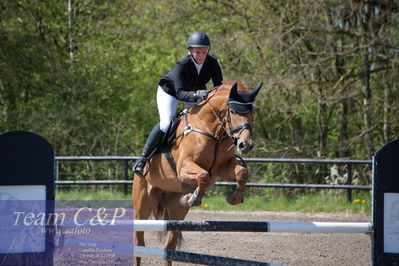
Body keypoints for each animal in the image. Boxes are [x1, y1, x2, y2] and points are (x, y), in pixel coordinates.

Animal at [133, 81, 262, 266]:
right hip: (143, 202)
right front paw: (194, 197)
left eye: (251, 112)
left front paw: (234, 197)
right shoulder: (183, 168)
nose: (245, 145)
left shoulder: (223, 168)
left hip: (176, 211)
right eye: (232, 111)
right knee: (139, 242)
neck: (213, 130)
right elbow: (203, 176)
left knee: (168, 246)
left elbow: (242, 172)